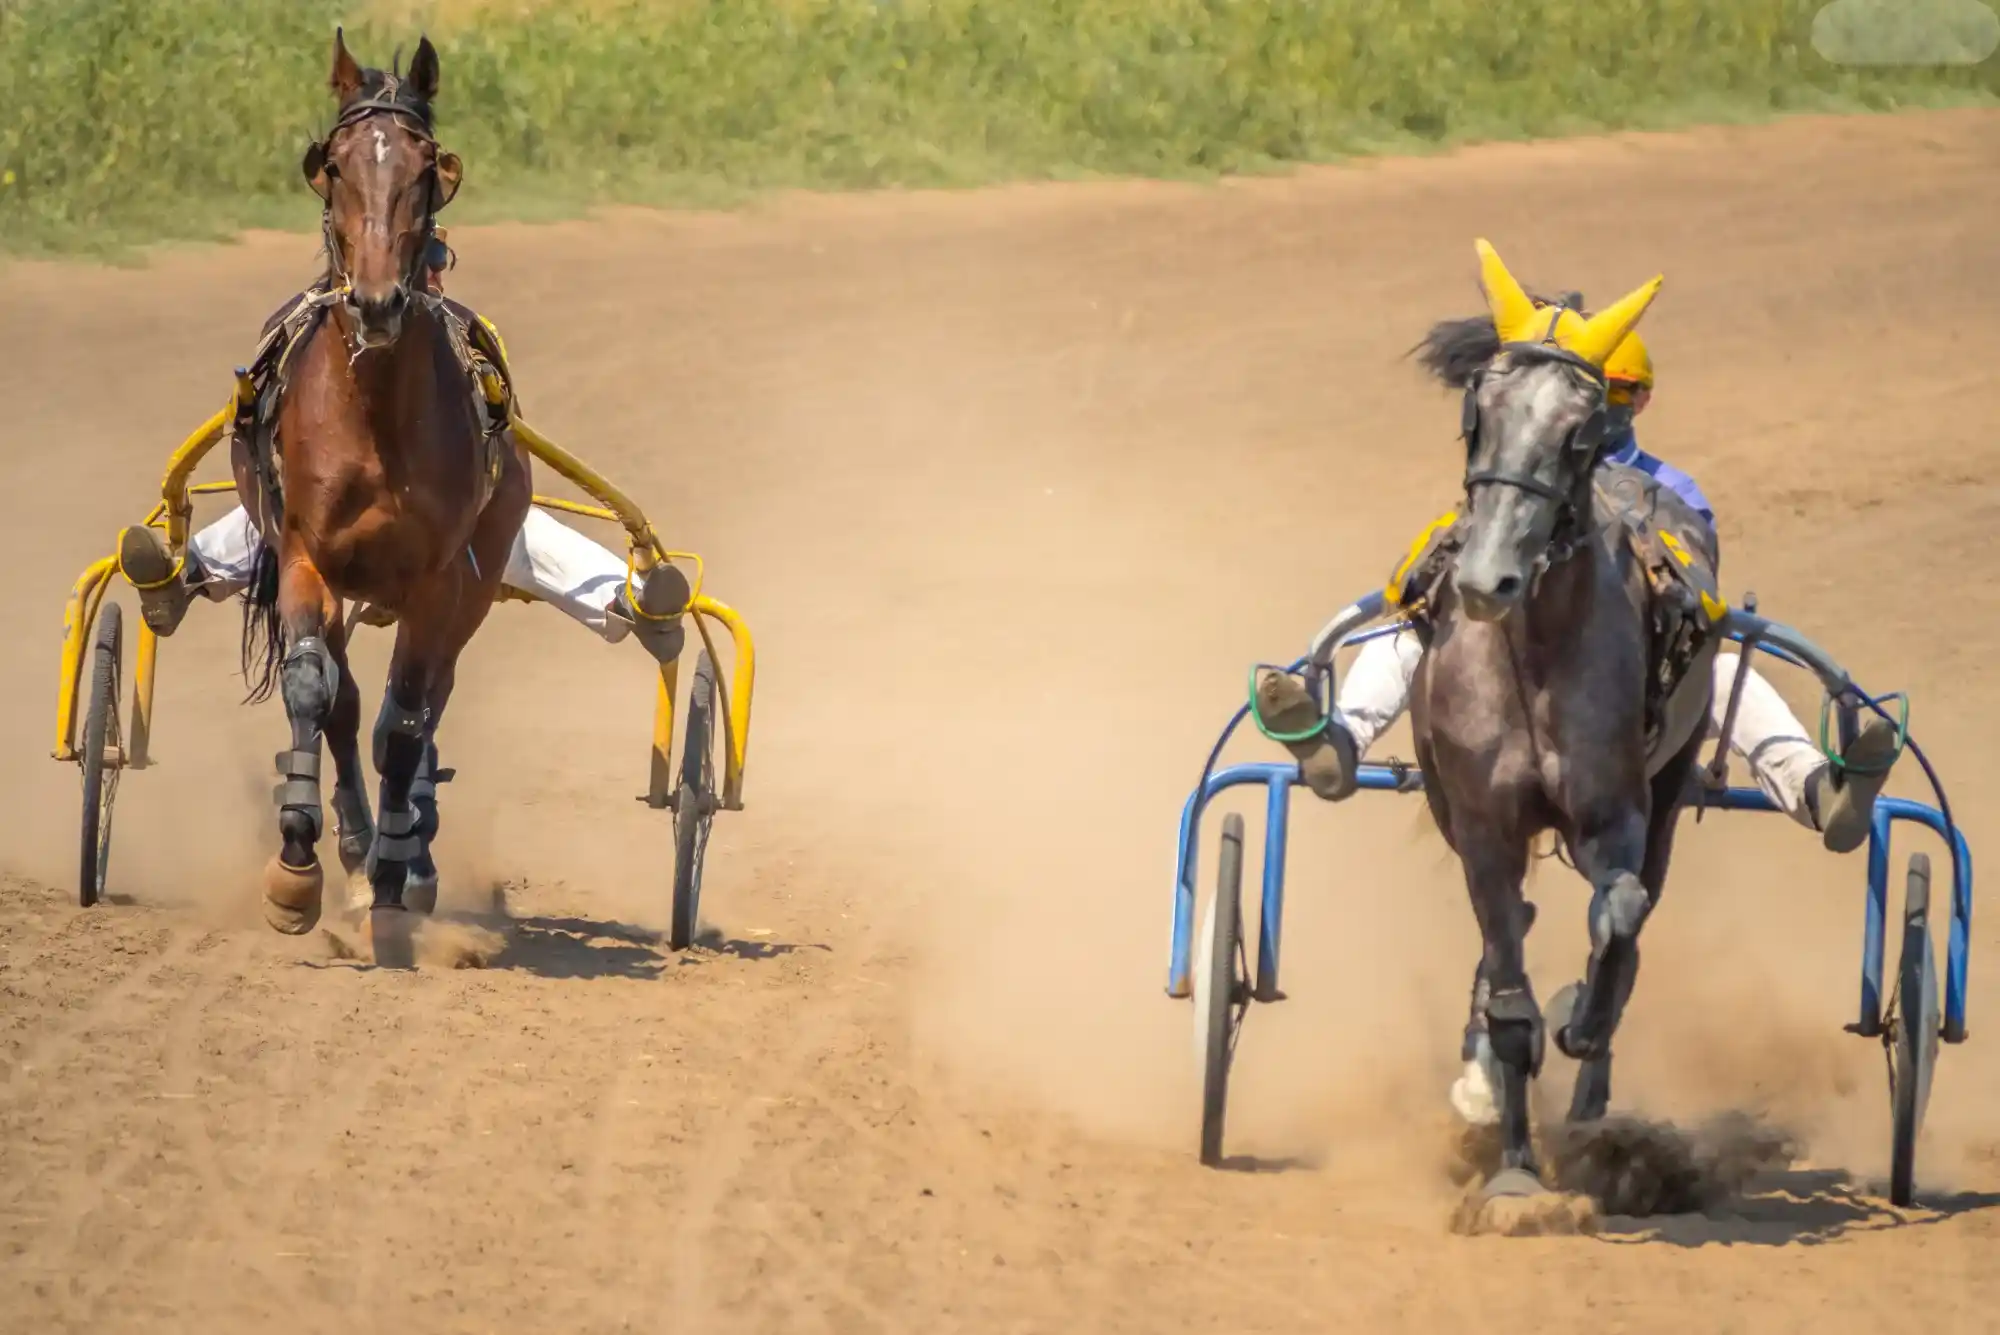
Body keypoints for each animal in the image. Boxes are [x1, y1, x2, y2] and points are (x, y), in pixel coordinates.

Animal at [236, 31, 531, 939]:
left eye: (428, 165)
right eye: (331, 165)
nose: (375, 302)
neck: (374, 408)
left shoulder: (440, 581)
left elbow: (405, 722)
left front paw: (398, 873)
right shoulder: (305, 554)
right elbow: (315, 689)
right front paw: (298, 863)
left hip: (473, 585)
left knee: (427, 699)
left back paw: (407, 846)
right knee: (342, 700)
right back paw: (356, 842)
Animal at [1400, 242, 1723, 1207]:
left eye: (1578, 429)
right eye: (1480, 410)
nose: (1487, 578)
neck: (1534, 650)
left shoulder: (1615, 811)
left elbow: (1619, 916)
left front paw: (1582, 1018)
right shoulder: (1483, 823)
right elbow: (1507, 994)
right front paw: (1513, 1172)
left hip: (1672, 781)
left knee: (1634, 910)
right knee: (1507, 932)